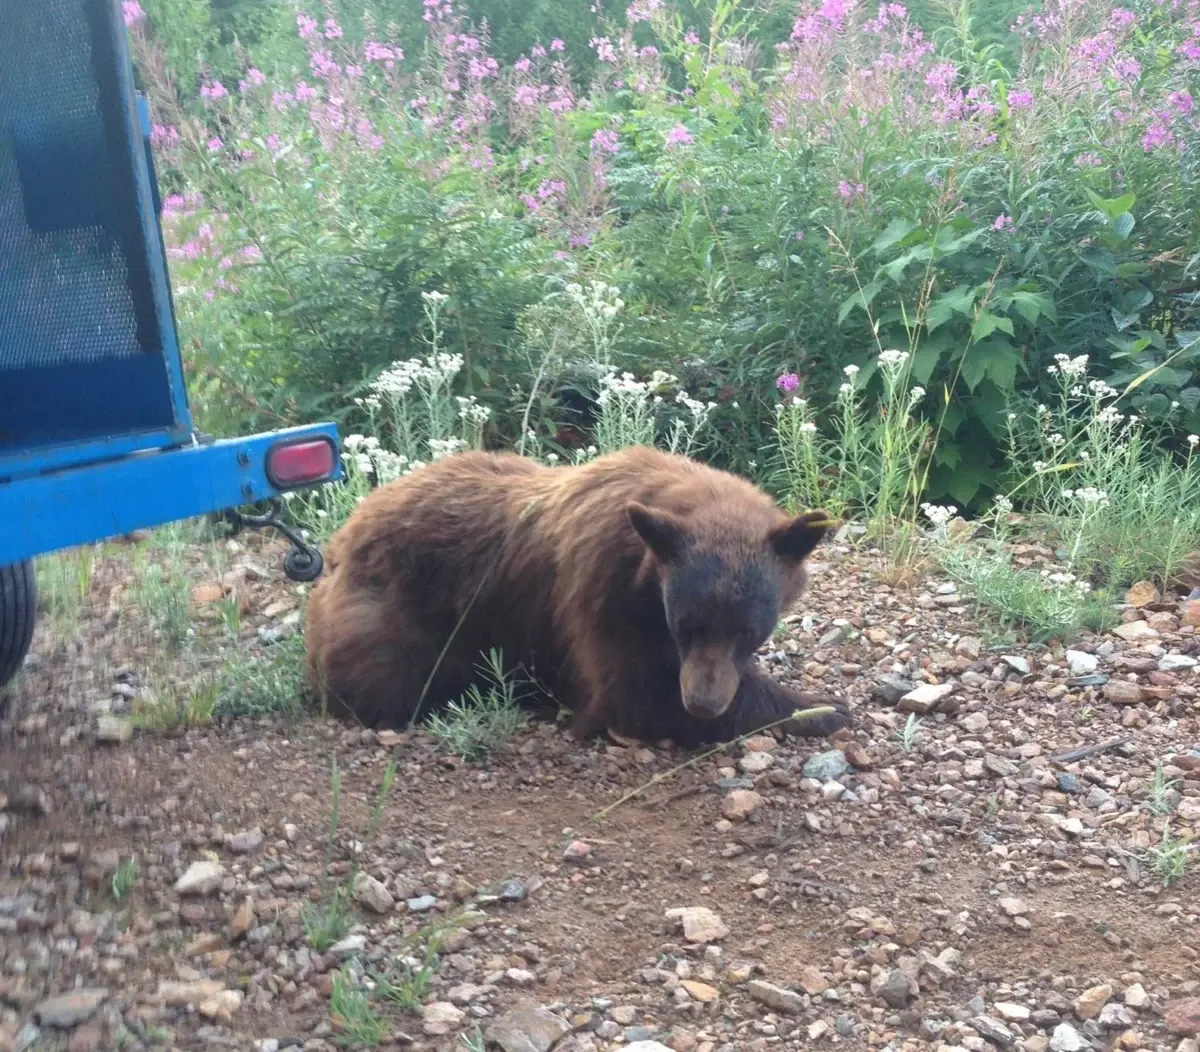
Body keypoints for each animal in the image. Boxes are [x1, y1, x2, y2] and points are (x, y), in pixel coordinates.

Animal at [304, 444, 852, 747]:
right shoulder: (600, 587)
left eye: (749, 631)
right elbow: (633, 695)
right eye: (685, 626)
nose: (703, 704)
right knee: (389, 673)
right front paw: (822, 707)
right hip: (399, 607)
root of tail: (343, 536)